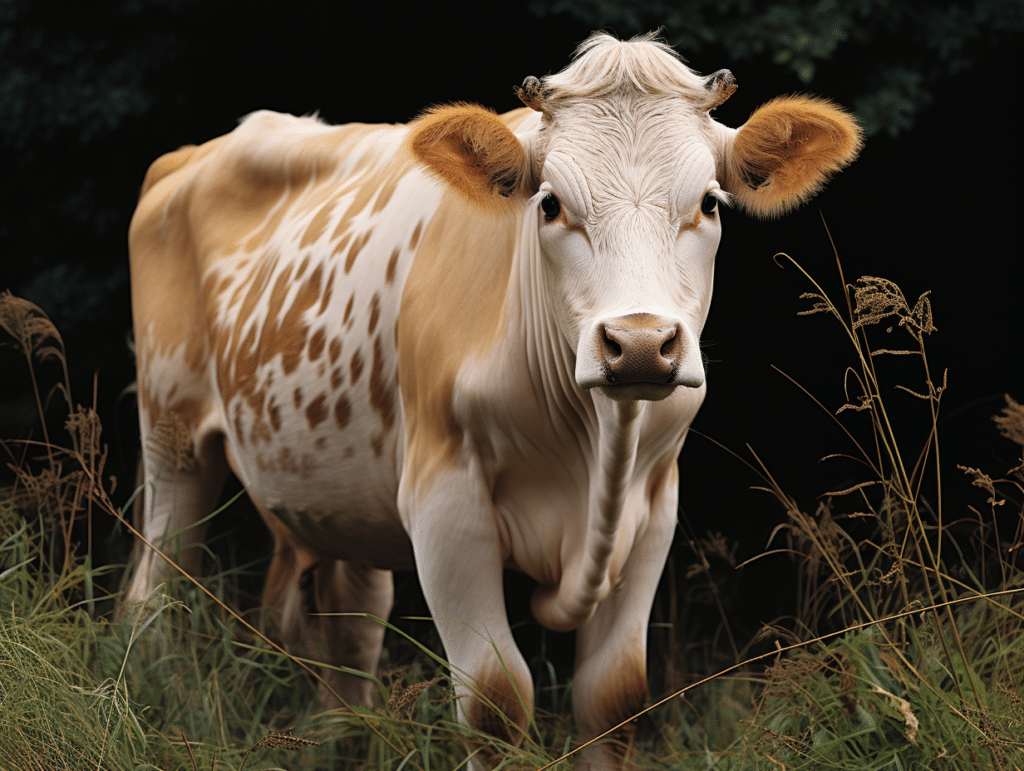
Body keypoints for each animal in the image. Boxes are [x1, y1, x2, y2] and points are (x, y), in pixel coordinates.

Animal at [126, 32, 860, 769]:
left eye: (708, 204)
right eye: (550, 204)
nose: (640, 343)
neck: (594, 447)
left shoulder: (655, 505)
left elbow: (614, 697)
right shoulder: (445, 500)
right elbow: (494, 699)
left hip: (340, 493)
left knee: (350, 634)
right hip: (172, 439)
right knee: (156, 598)